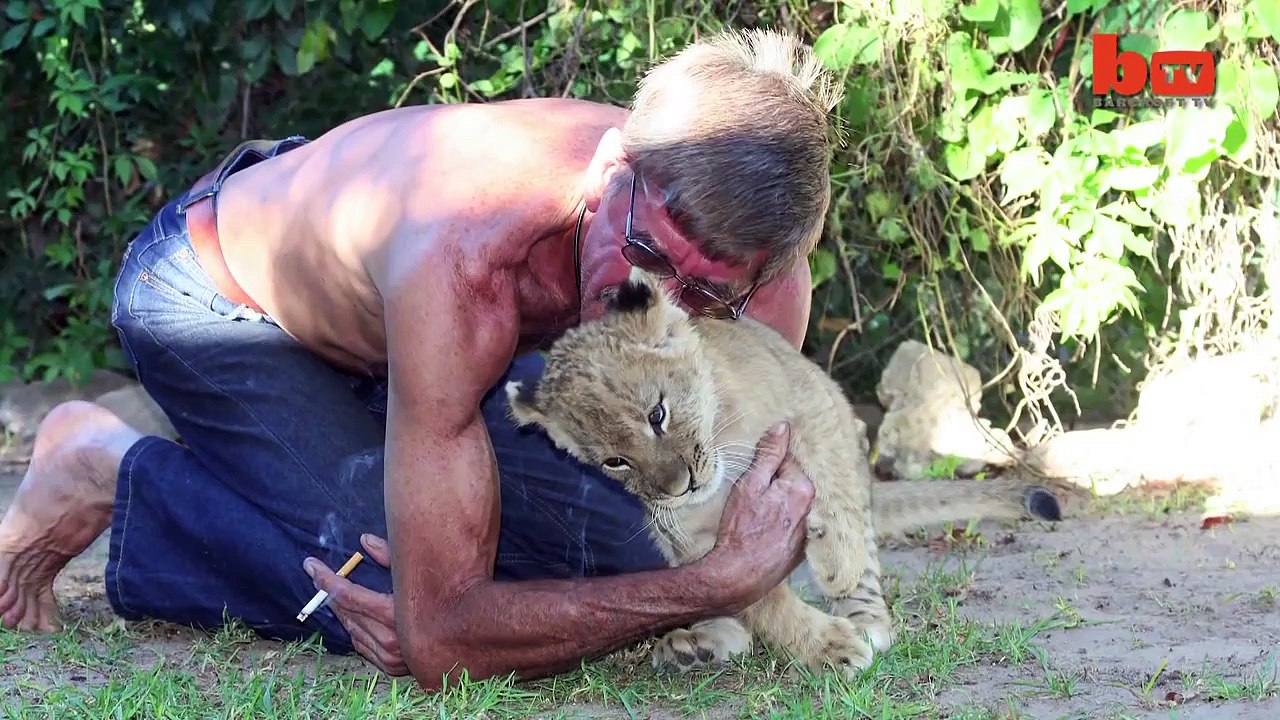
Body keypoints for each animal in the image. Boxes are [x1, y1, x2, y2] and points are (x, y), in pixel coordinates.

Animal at [504, 268, 1062, 677]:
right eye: (613, 462)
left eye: (657, 414)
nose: (678, 488)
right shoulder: (698, 543)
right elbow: (761, 600)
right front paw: (829, 647)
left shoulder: (814, 404)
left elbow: (831, 486)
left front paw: (840, 570)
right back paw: (699, 642)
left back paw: (864, 617)